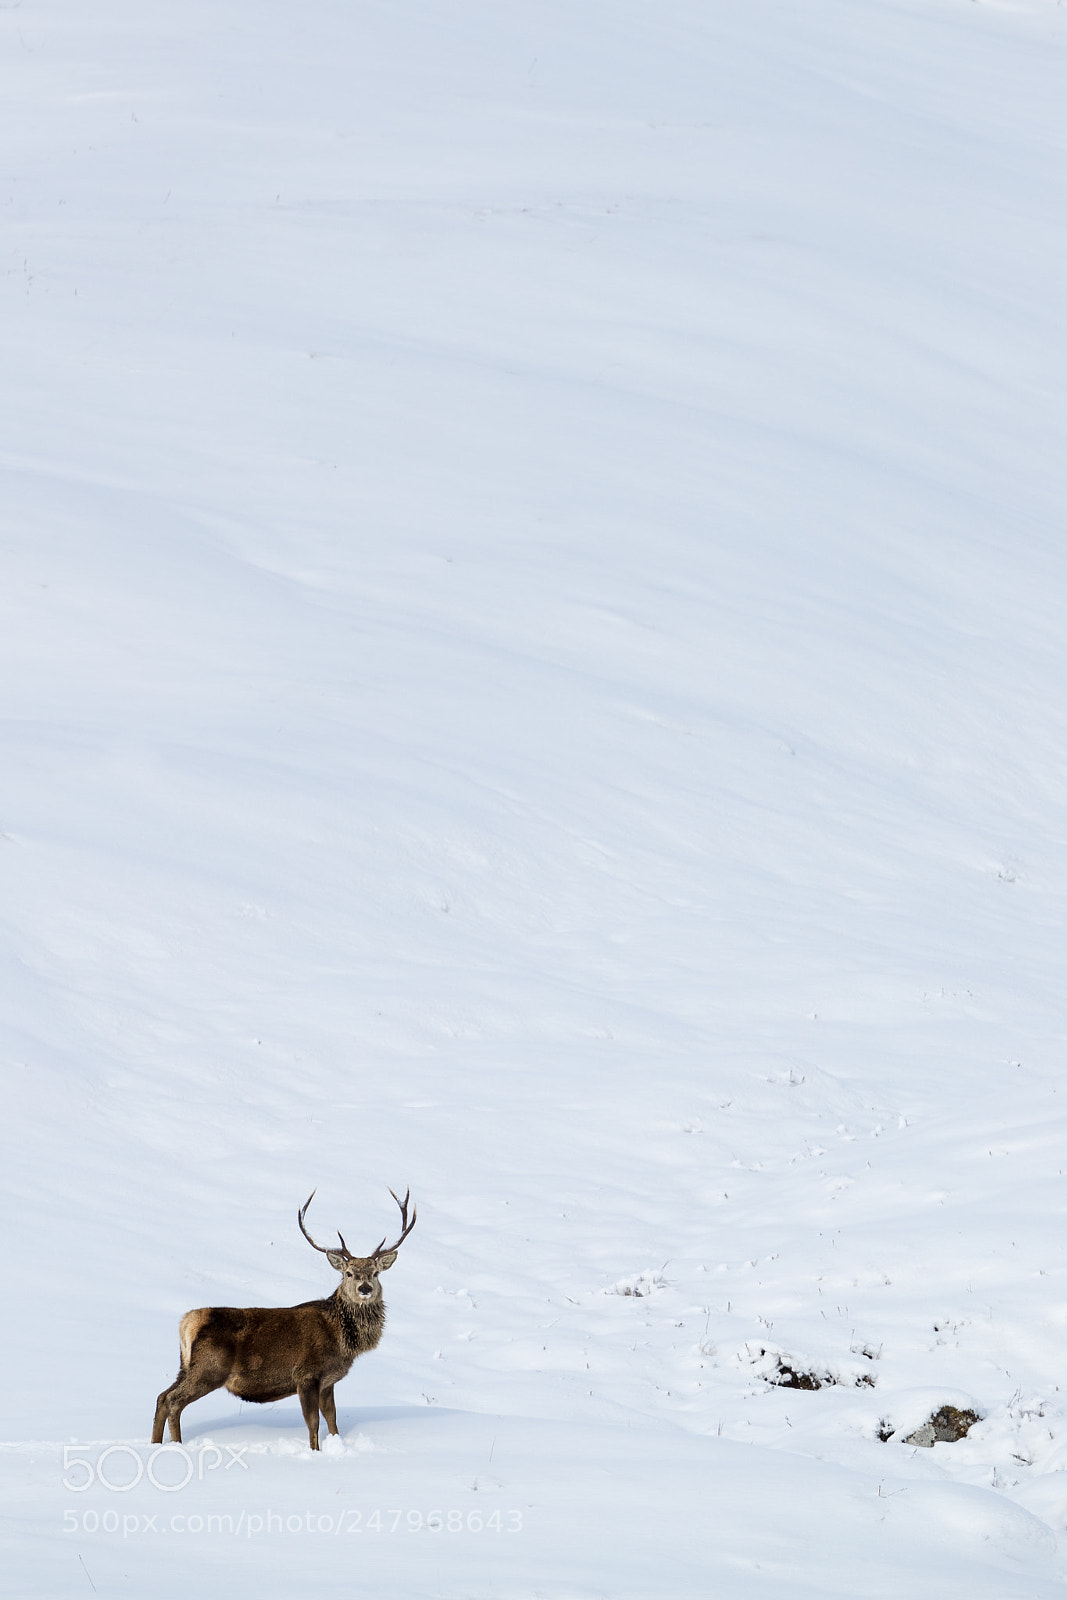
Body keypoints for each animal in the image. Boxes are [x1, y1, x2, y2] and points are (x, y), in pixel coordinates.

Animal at [152, 1188, 416, 1451]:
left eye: (376, 1273)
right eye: (348, 1273)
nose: (365, 1288)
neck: (340, 1339)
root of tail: (187, 1322)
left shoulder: (328, 1380)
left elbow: (332, 1418)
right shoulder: (306, 1374)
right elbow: (313, 1422)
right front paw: (315, 1451)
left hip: (185, 1367)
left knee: (162, 1396)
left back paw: (155, 1443)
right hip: (209, 1367)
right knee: (173, 1400)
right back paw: (176, 1444)